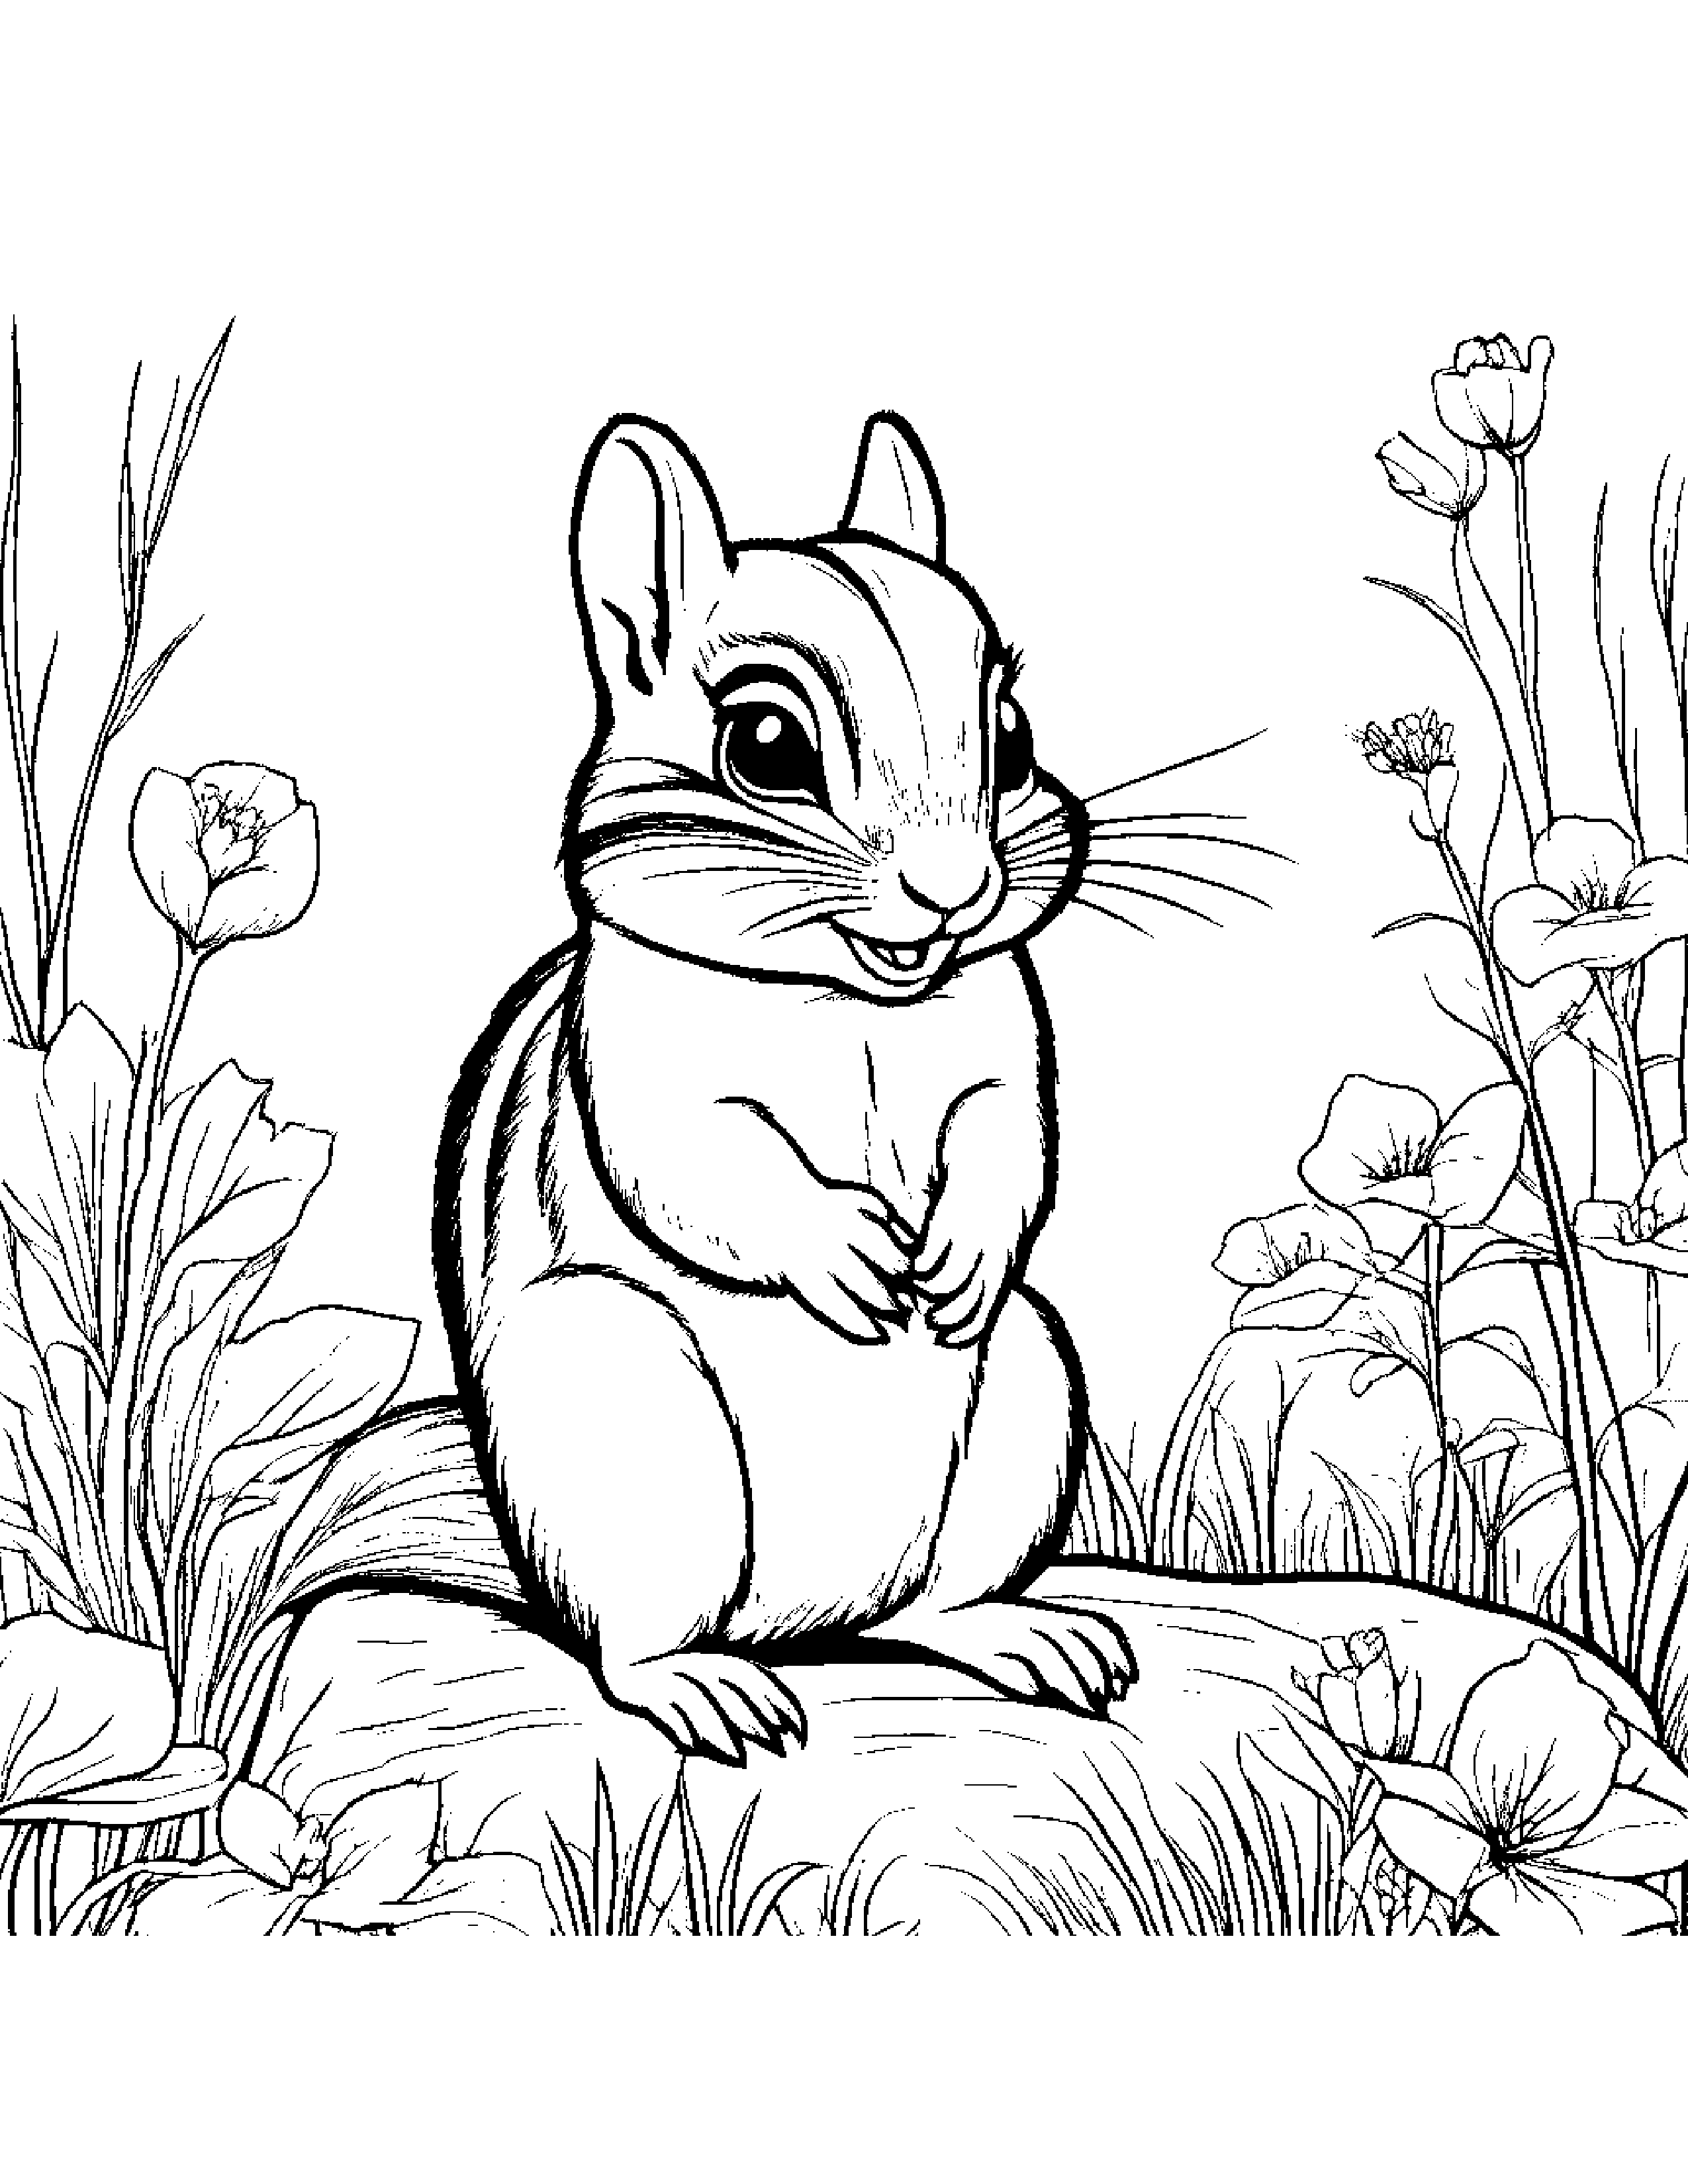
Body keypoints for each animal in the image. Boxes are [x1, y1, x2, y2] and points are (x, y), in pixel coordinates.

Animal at [433, 410, 1138, 1764]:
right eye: (767, 746)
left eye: (1013, 737)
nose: (954, 889)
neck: (853, 1000)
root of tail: (806, 1622)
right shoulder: (647, 1071)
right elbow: (706, 1166)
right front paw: (850, 1253)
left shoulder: (1004, 1056)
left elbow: (1009, 1145)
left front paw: (953, 1254)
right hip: (625, 1419)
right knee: (632, 1644)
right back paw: (705, 1689)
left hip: (1025, 1391)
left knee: (932, 1606)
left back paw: (1027, 1638)